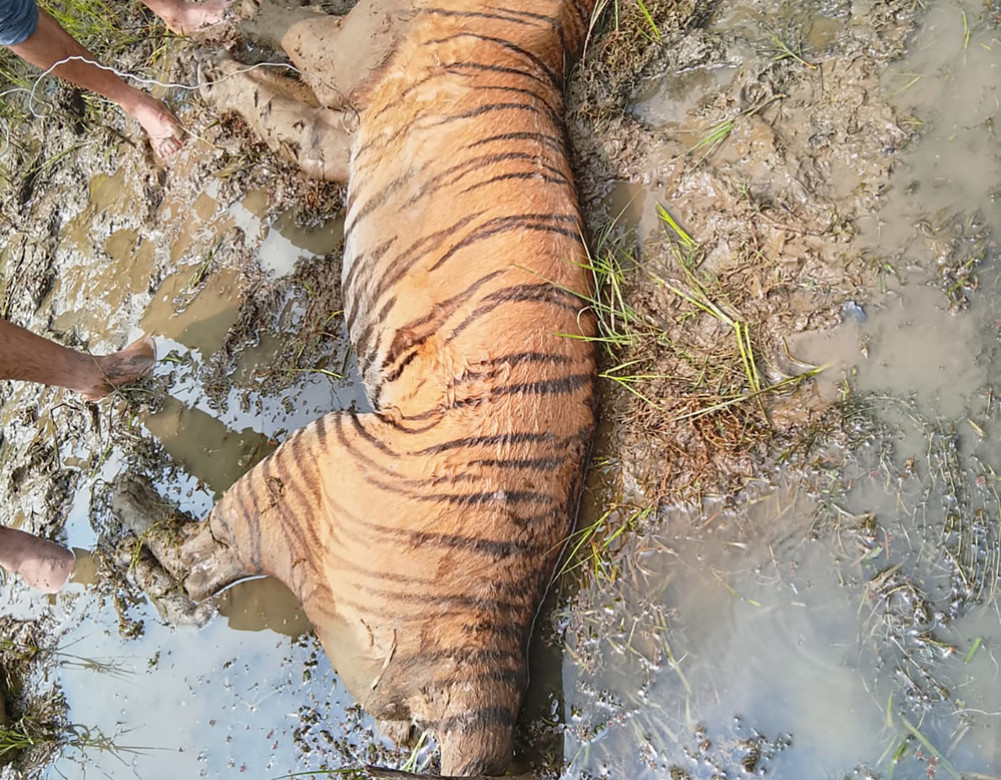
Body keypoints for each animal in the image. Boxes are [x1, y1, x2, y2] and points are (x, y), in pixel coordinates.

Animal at [138, 0, 600, 775]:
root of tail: (483, 663)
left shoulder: (341, 58)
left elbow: (281, 57)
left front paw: (219, 59)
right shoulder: (338, 129)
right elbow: (280, 97)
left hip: (305, 462)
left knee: (196, 566)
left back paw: (131, 514)